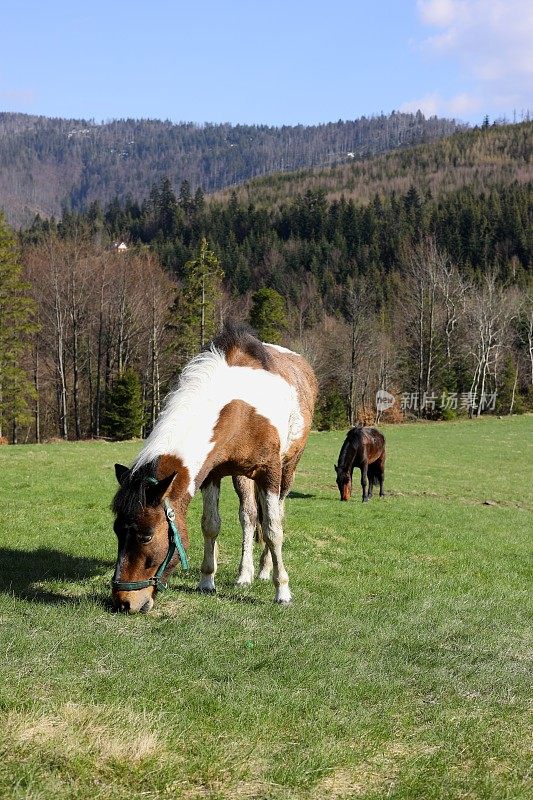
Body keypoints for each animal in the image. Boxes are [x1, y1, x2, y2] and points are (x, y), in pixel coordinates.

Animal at [109, 324, 314, 612]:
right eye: (117, 531)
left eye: (147, 536)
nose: (123, 602)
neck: (241, 408)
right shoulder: (211, 475)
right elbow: (210, 525)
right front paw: (207, 580)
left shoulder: (270, 472)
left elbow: (273, 530)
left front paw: (282, 590)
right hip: (241, 477)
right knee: (248, 517)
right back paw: (244, 574)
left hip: (288, 470)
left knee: (273, 517)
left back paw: (264, 570)